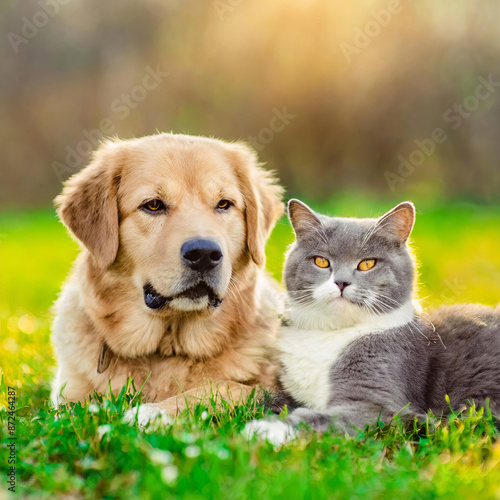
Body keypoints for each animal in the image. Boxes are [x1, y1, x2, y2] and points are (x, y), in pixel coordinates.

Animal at [51, 133, 286, 422]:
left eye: (223, 204)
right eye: (153, 205)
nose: (204, 254)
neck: (167, 345)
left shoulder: (273, 391)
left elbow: (219, 388)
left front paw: (151, 413)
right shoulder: (67, 396)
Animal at [246, 201, 500, 444]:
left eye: (367, 263)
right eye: (321, 261)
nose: (341, 282)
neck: (331, 332)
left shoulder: (378, 402)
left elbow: (329, 417)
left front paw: (264, 430)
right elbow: (268, 400)